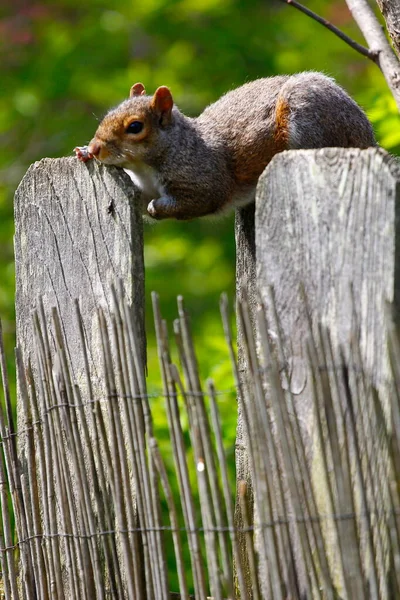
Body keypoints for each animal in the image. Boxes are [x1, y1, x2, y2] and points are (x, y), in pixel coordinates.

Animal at [74, 71, 376, 220]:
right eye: (108, 114)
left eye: (135, 127)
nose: (97, 147)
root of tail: (366, 136)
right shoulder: (143, 188)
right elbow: (134, 202)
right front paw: (83, 152)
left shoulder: (203, 179)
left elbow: (199, 201)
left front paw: (157, 209)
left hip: (307, 115)